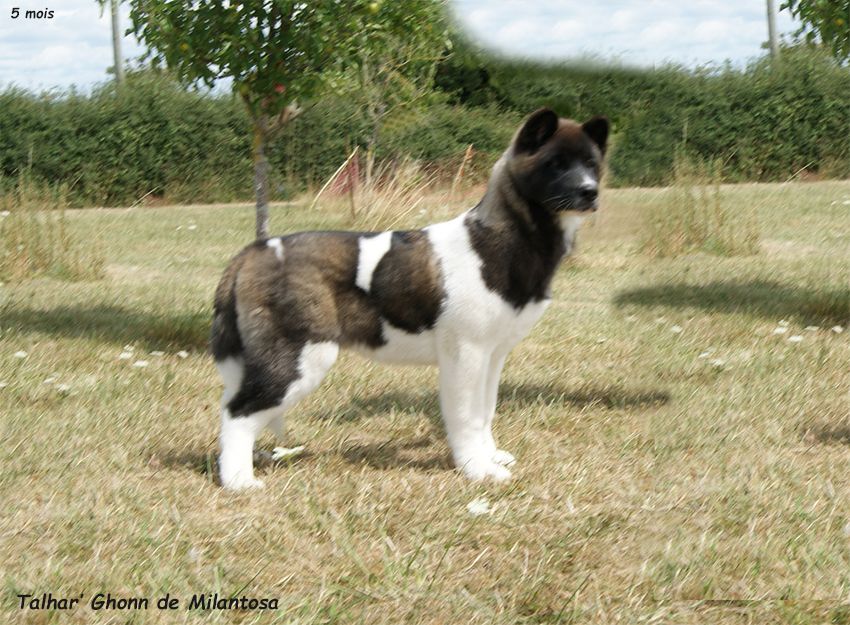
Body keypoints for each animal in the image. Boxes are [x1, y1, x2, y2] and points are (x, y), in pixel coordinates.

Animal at [211, 108, 608, 490]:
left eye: (591, 164)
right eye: (555, 163)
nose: (590, 192)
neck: (501, 239)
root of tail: (254, 251)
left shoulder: (493, 355)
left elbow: (486, 411)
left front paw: (489, 456)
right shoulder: (466, 355)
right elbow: (466, 416)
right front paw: (477, 469)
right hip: (302, 357)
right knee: (237, 412)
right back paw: (238, 481)